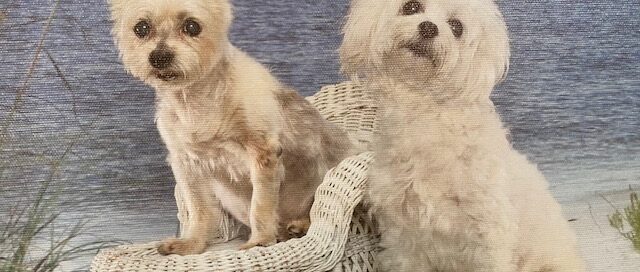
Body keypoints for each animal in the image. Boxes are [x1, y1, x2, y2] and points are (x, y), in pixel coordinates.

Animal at [107, 0, 352, 255]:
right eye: (141, 28)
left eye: (192, 26)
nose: (159, 56)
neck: (197, 99)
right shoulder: (187, 164)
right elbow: (199, 209)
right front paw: (191, 244)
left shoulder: (264, 155)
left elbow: (260, 206)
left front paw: (259, 241)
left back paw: (300, 225)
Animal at [340, 0, 584, 272]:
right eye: (411, 7)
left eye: (456, 27)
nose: (428, 28)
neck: (425, 114)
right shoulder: (402, 239)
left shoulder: (490, 235)